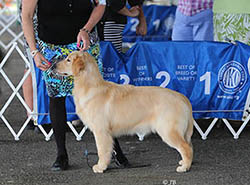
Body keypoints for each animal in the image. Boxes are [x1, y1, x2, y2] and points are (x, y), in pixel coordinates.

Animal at [56, 51, 193, 173]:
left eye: (68, 60)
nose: (53, 66)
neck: (89, 85)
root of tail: (182, 97)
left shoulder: (101, 131)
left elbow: (102, 151)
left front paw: (100, 167)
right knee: (189, 145)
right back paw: (184, 162)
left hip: (168, 131)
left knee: (186, 148)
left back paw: (184, 167)